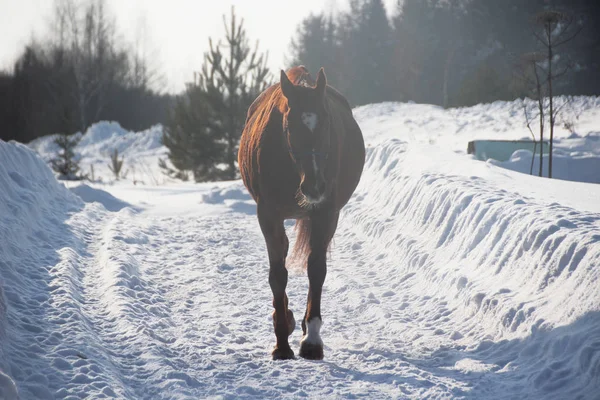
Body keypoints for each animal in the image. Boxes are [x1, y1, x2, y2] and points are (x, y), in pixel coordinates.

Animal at [239, 65, 366, 360]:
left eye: (327, 123)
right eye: (289, 125)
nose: (315, 185)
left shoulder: (326, 214)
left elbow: (316, 270)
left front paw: (312, 341)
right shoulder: (268, 215)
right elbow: (278, 275)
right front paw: (281, 343)